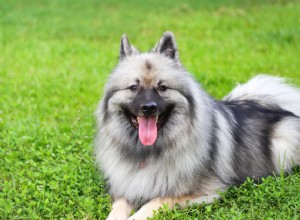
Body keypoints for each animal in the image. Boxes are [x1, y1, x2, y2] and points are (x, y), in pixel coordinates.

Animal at [94, 31, 300, 220]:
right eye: (134, 87)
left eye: (162, 87)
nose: (149, 107)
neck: (147, 151)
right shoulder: (126, 188)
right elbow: (117, 209)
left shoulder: (201, 191)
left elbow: (154, 202)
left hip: (282, 145)